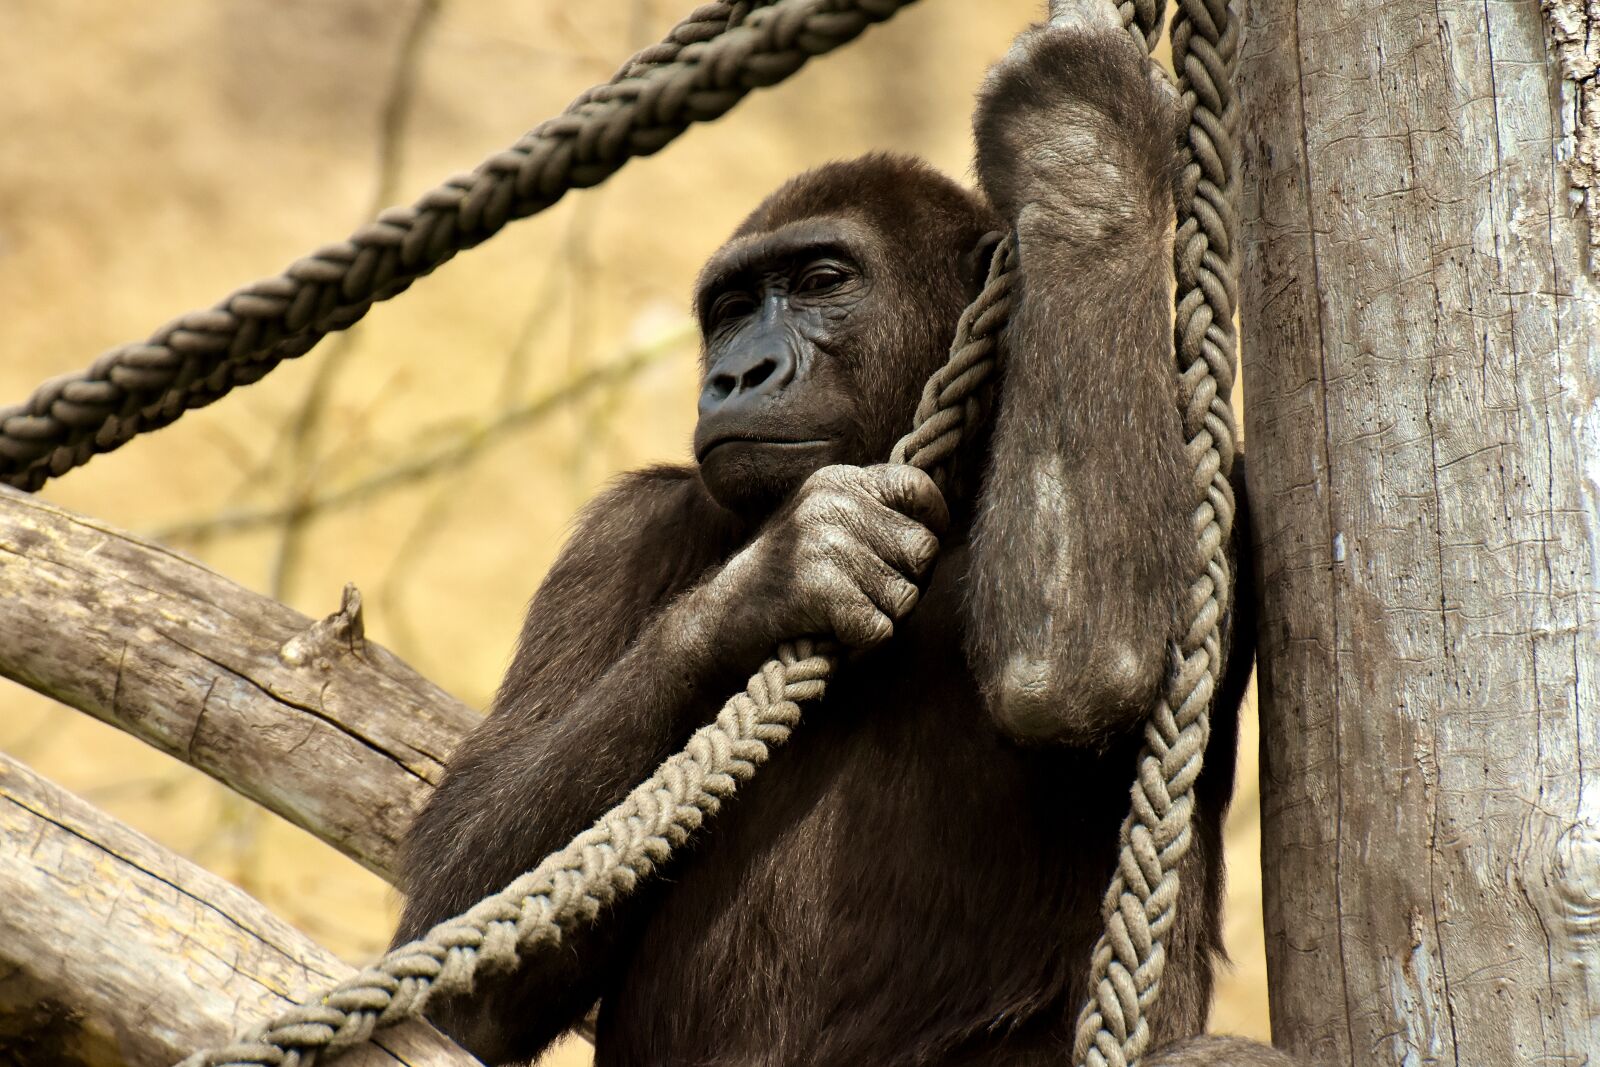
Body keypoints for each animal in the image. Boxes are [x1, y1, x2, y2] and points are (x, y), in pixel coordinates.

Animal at [394, 5, 1296, 1065]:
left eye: (824, 279)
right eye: (731, 309)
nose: (738, 372)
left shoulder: (1219, 481)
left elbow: (1079, 664)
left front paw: (1078, 144)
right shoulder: (615, 539)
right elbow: (463, 954)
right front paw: (782, 573)